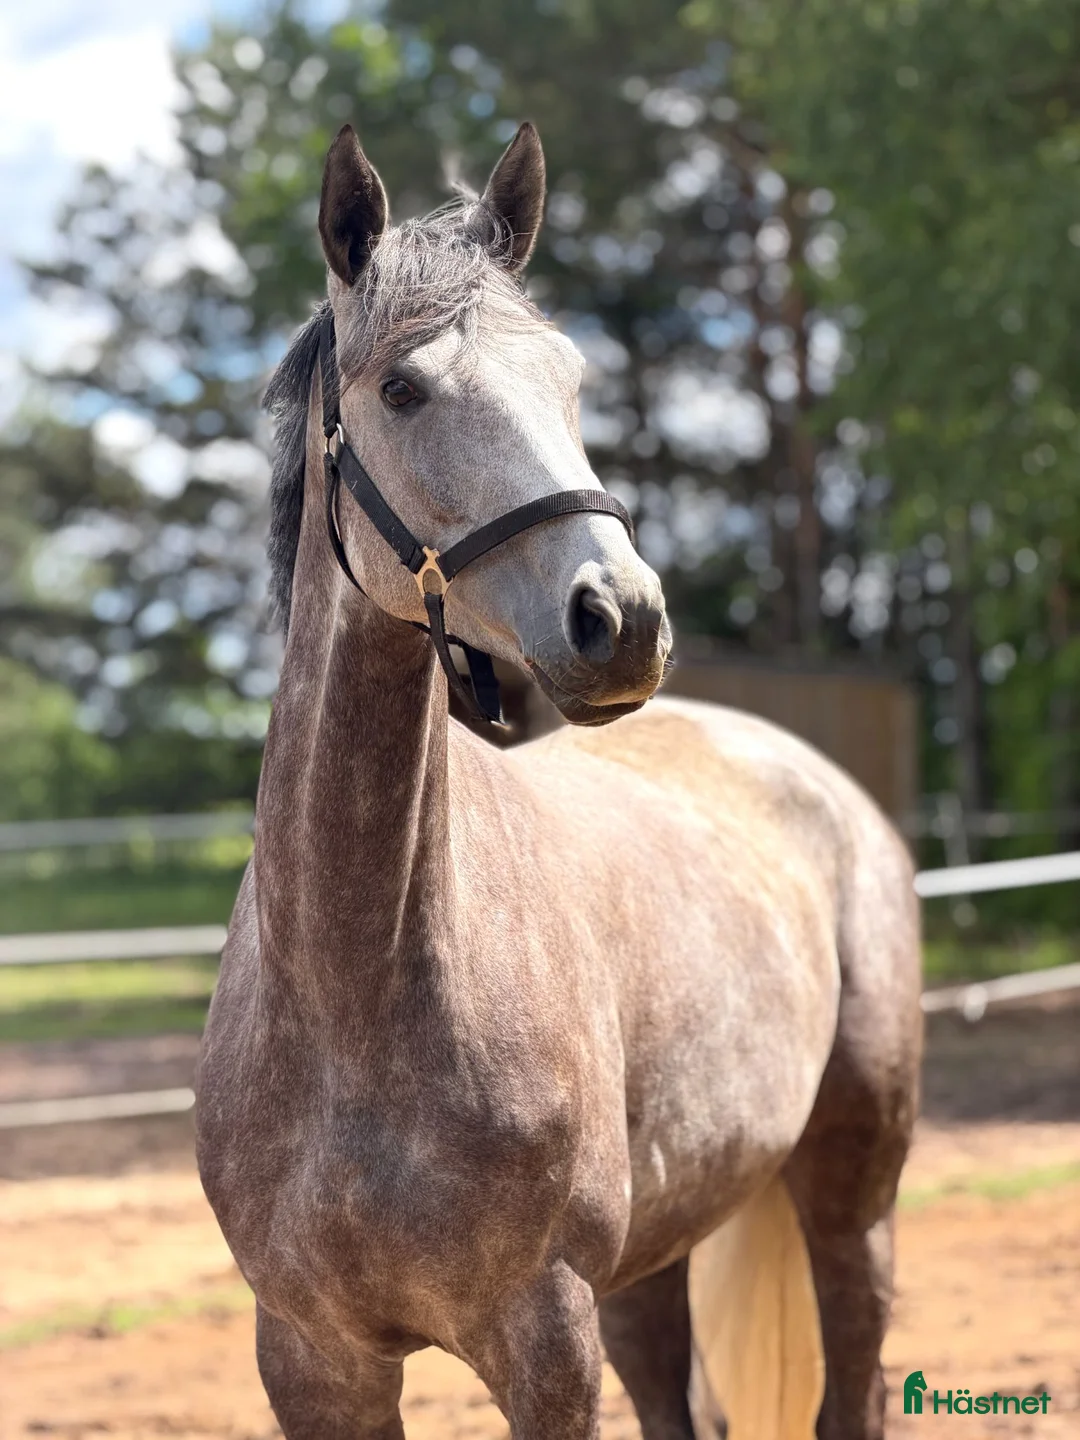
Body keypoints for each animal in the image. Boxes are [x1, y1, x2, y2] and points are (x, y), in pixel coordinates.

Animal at [196, 120, 922, 1440]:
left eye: (573, 381)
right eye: (402, 388)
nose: (622, 618)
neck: (351, 998)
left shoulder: (545, 1339)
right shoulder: (315, 1360)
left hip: (852, 1195)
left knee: (854, 1372)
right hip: (654, 1254)